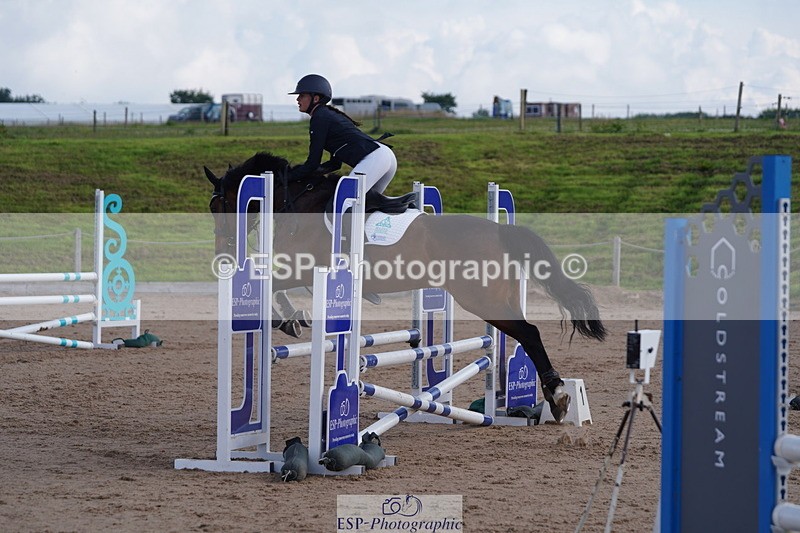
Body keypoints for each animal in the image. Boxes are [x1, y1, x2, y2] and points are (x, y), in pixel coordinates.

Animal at [204, 151, 606, 422]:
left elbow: (271, 284)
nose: (223, 252)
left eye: (218, 205)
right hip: (498, 297)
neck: (296, 199)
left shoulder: (302, 267)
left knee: (529, 333)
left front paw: (286, 320)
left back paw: (557, 396)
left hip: (481, 299)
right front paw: (290, 320)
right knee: (520, 334)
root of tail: (498, 230)